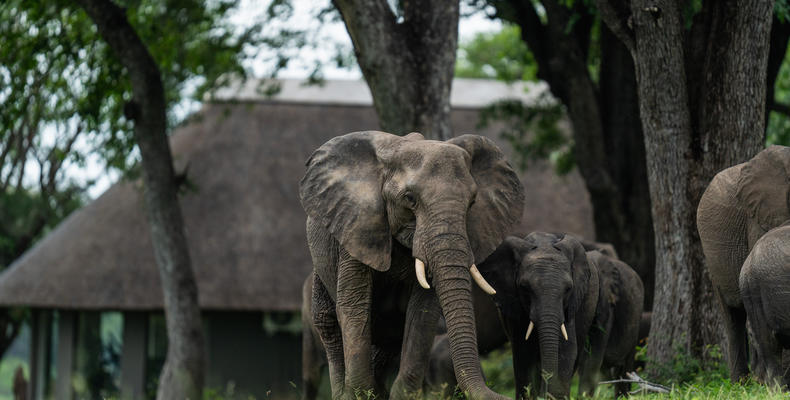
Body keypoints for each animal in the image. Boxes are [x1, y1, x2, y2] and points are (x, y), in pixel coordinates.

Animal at [299, 131, 524, 399]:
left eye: (472, 202)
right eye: (409, 198)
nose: (504, 396)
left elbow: (423, 312)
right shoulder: (358, 226)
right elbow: (354, 307)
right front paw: (360, 393)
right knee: (329, 325)